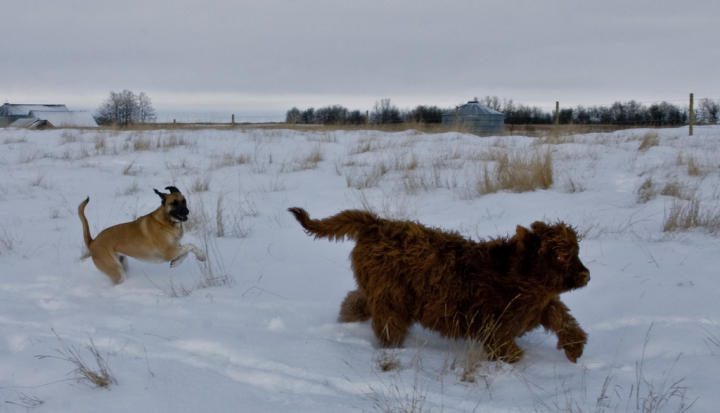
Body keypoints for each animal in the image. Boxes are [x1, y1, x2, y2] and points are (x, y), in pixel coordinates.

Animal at [286, 208, 592, 362]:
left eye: (576, 251)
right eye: (561, 255)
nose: (586, 275)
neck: (518, 274)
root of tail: (376, 224)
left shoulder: (540, 306)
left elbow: (563, 318)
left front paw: (575, 348)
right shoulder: (496, 323)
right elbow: (505, 346)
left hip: (378, 291)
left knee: (355, 300)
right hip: (391, 298)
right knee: (387, 323)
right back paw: (392, 349)